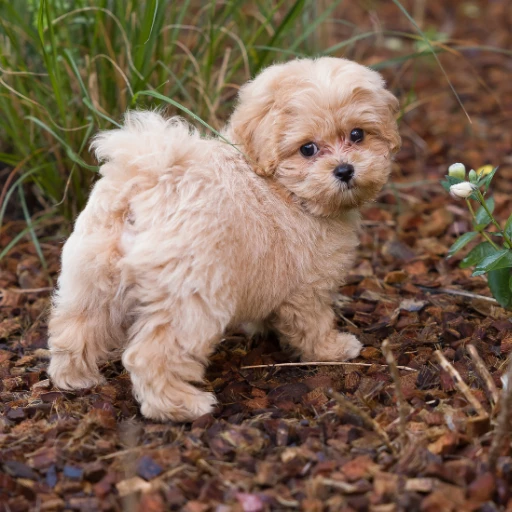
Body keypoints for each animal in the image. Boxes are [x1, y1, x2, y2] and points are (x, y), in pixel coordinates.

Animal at [48, 58, 400, 422]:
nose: (344, 170)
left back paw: (75, 378)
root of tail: (147, 181)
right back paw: (181, 405)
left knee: (73, 327)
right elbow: (312, 323)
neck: (282, 187)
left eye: (357, 134)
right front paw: (333, 349)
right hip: (191, 300)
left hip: (91, 278)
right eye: (308, 149)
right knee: (151, 354)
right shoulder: (308, 286)